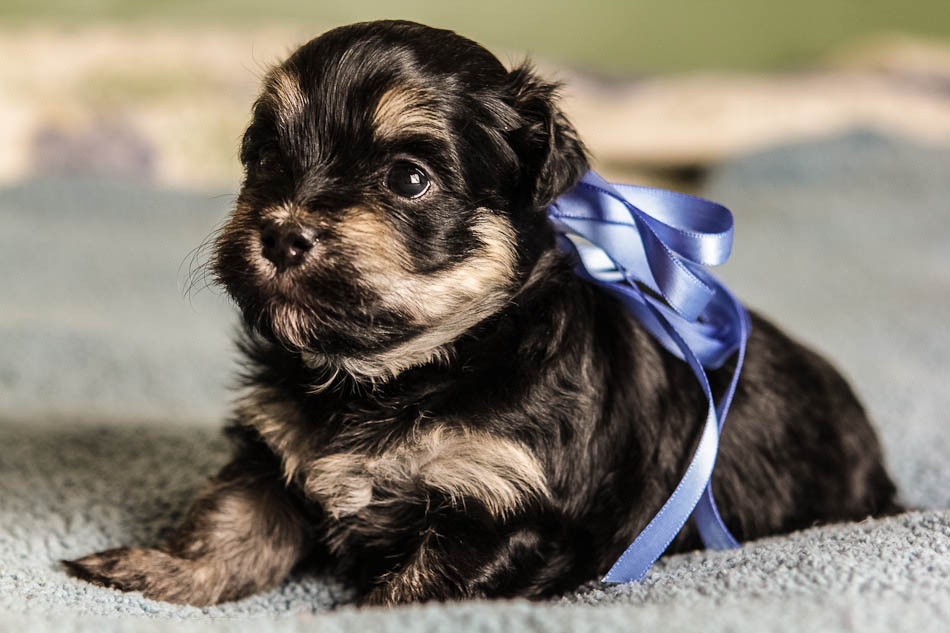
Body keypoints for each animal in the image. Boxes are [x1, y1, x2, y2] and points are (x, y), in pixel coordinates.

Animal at [65, 18, 900, 604]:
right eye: (267, 156)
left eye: (408, 179)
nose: (280, 232)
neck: (399, 373)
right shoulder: (273, 455)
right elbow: (231, 522)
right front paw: (159, 569)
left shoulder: (505, 509)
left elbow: (417, 590)